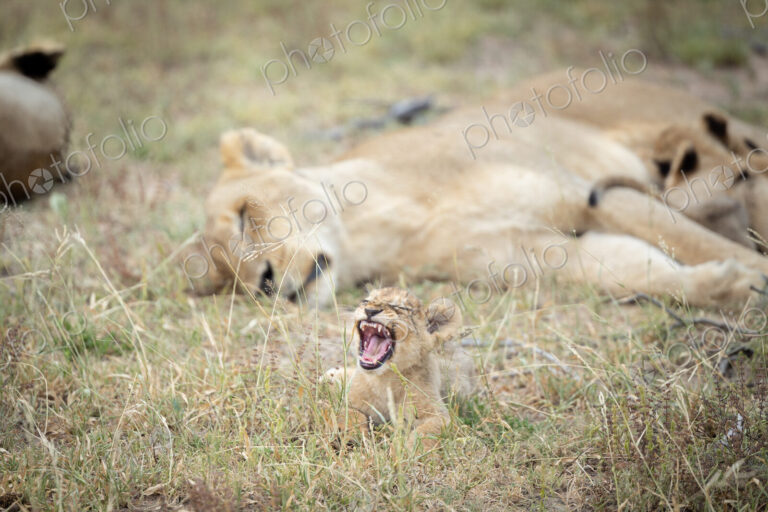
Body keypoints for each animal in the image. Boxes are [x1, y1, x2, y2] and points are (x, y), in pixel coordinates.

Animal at [321, 287, 476, 450]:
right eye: (366, 301)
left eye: (399, 307)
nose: (370, 310)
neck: (384, 380)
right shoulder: (337, 401)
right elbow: (344, 412)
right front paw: (351, 434)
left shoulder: (439, 415)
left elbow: (424, 434)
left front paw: (404, 452)